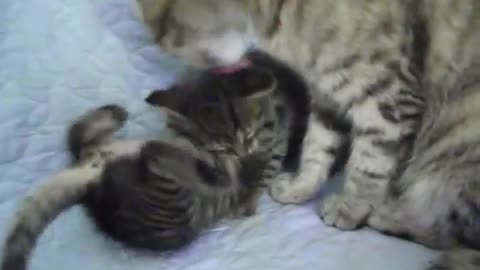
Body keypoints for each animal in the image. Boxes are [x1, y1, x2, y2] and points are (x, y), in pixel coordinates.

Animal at [133, 1, 480, 268]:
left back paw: (388, 216)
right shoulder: (328, 96)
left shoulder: (389, 99)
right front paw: (300, 187)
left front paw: (350, 208)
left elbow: (368, 167)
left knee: (448, 230)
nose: (217, 70)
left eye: (171, 36)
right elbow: (317, 146)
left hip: (456, 151)